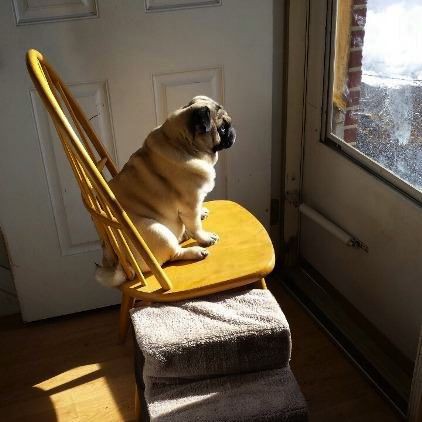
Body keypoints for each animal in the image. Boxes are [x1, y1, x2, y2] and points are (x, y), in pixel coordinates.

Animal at [95, 95, 236, 286]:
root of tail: (118, 262)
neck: (180, 144)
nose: (232, 131)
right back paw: (195, 251)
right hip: (157, 231)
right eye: (222, 128)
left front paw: (202, 212)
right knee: (174, 253)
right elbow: (196, 227)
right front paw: (205, 238)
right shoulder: (189, 205)